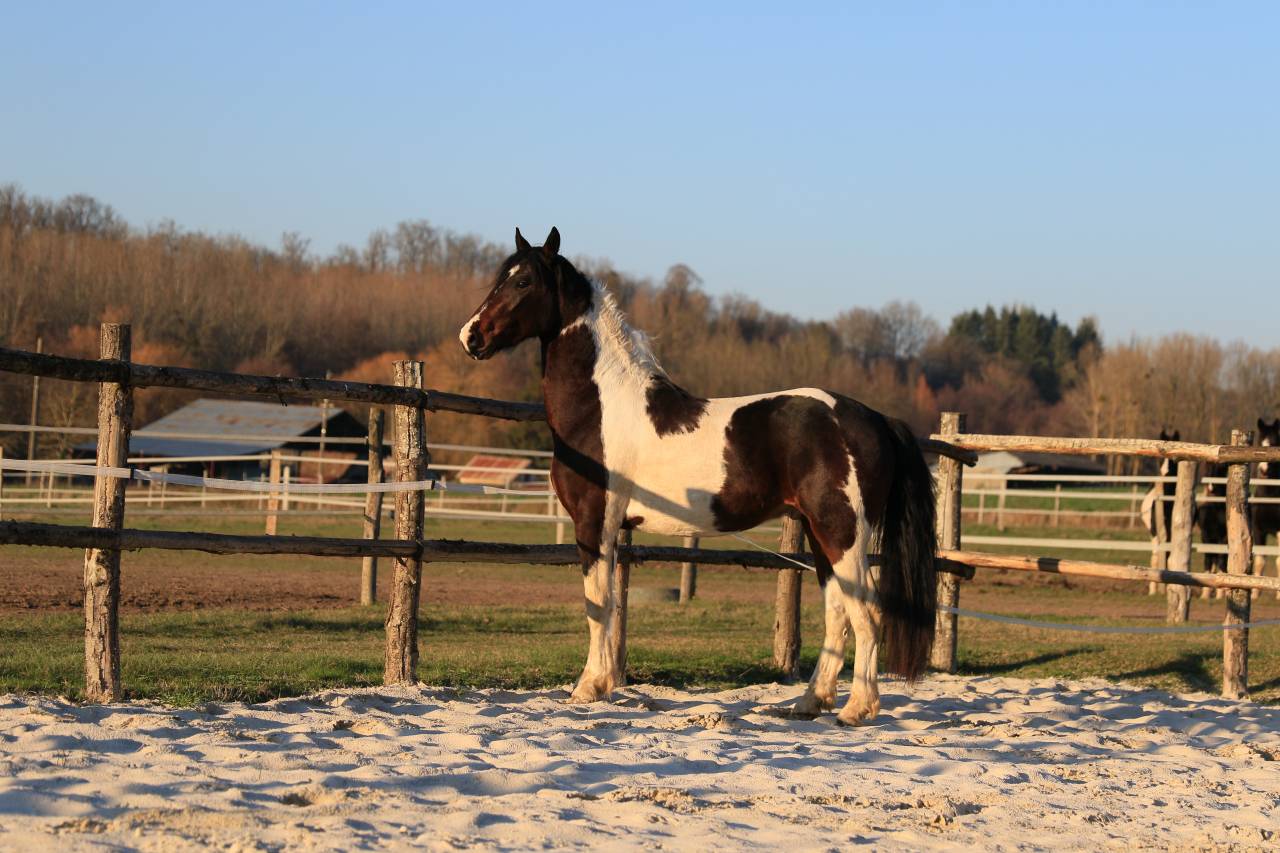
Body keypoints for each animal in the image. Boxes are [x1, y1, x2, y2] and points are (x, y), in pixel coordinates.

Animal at [460, 227, 939, 725]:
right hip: (820, 533)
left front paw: (588, 687)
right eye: (501, 277)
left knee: (867, 614)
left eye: (523, 282)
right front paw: (605, 683)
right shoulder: (609, 529)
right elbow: (608, 604)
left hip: (841, 531)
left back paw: (857, 708)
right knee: (838, 614)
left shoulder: (594, 523)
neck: (601, 409)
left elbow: (598, 603)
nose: (470, 336)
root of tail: (875, 418)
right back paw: (809, 702)